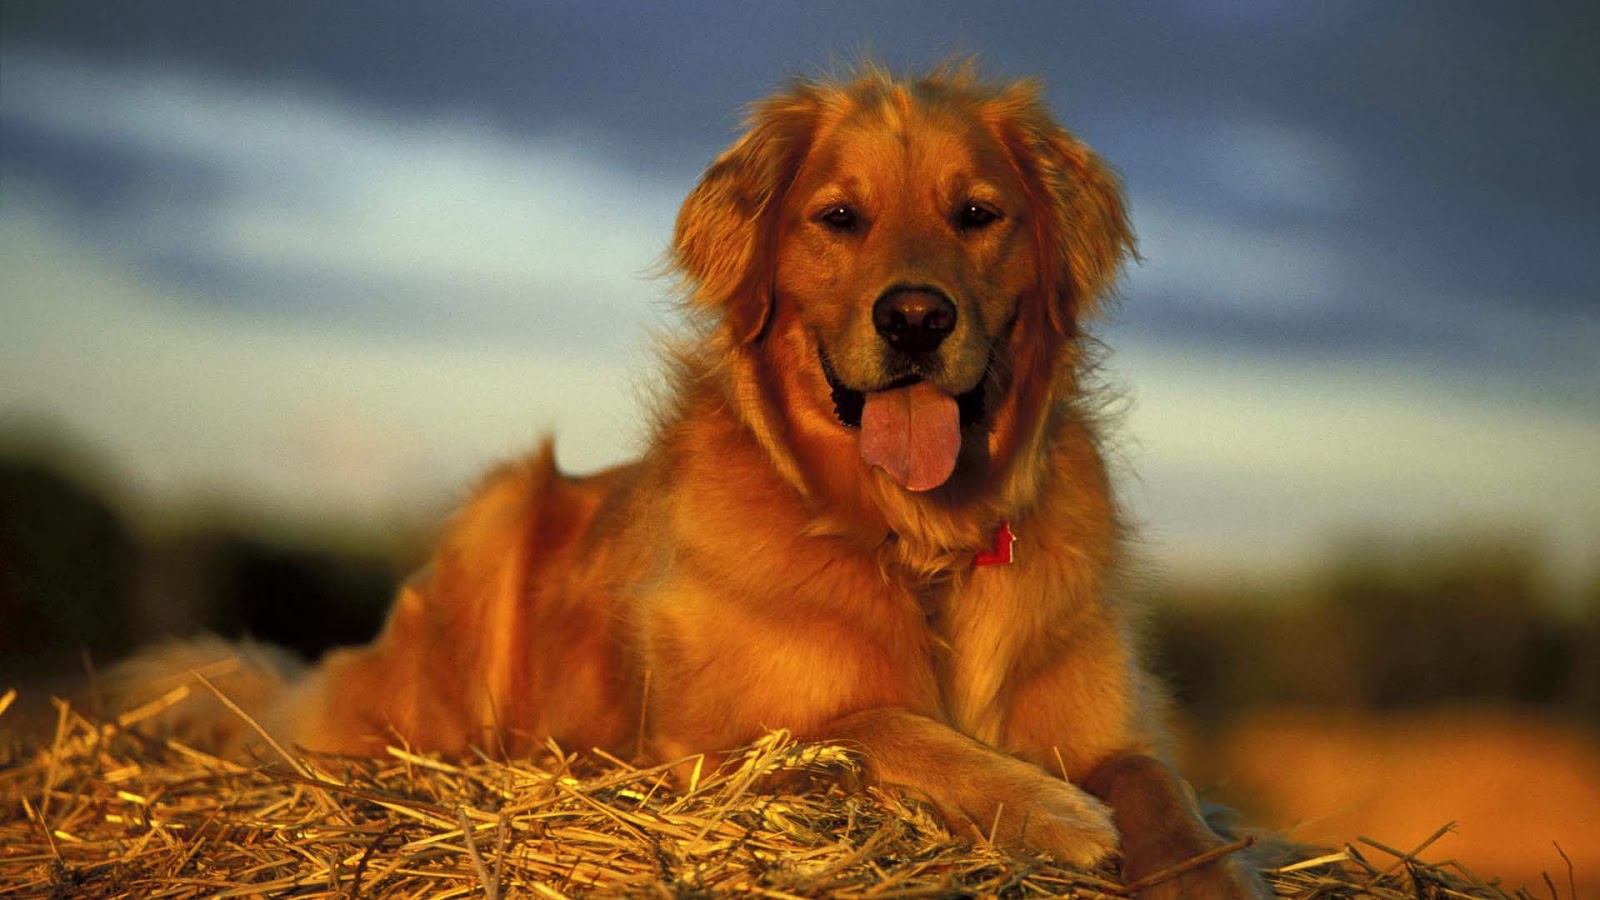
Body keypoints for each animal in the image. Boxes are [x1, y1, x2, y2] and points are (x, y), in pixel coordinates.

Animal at [118, 64, 1273, 896]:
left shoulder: (1117, 729)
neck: (915, 541)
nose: (915, 318)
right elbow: (872, 724)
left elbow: (1173, 802)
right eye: (839, 218)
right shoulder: (711, 742)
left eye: (979, 214)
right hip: (494, 521)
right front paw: (1055, 814)